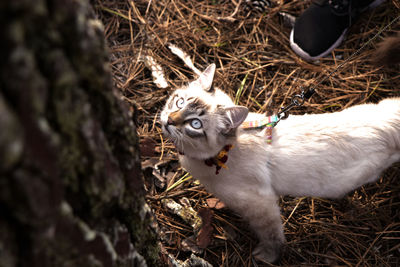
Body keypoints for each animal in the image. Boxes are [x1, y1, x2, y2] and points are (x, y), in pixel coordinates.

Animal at [159, 62, 400, 264]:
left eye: (195, 124)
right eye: (179, 102)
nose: (169, 120)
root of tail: (389, 119)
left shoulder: (261, 204)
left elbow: (272, 235)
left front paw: (267, 256)